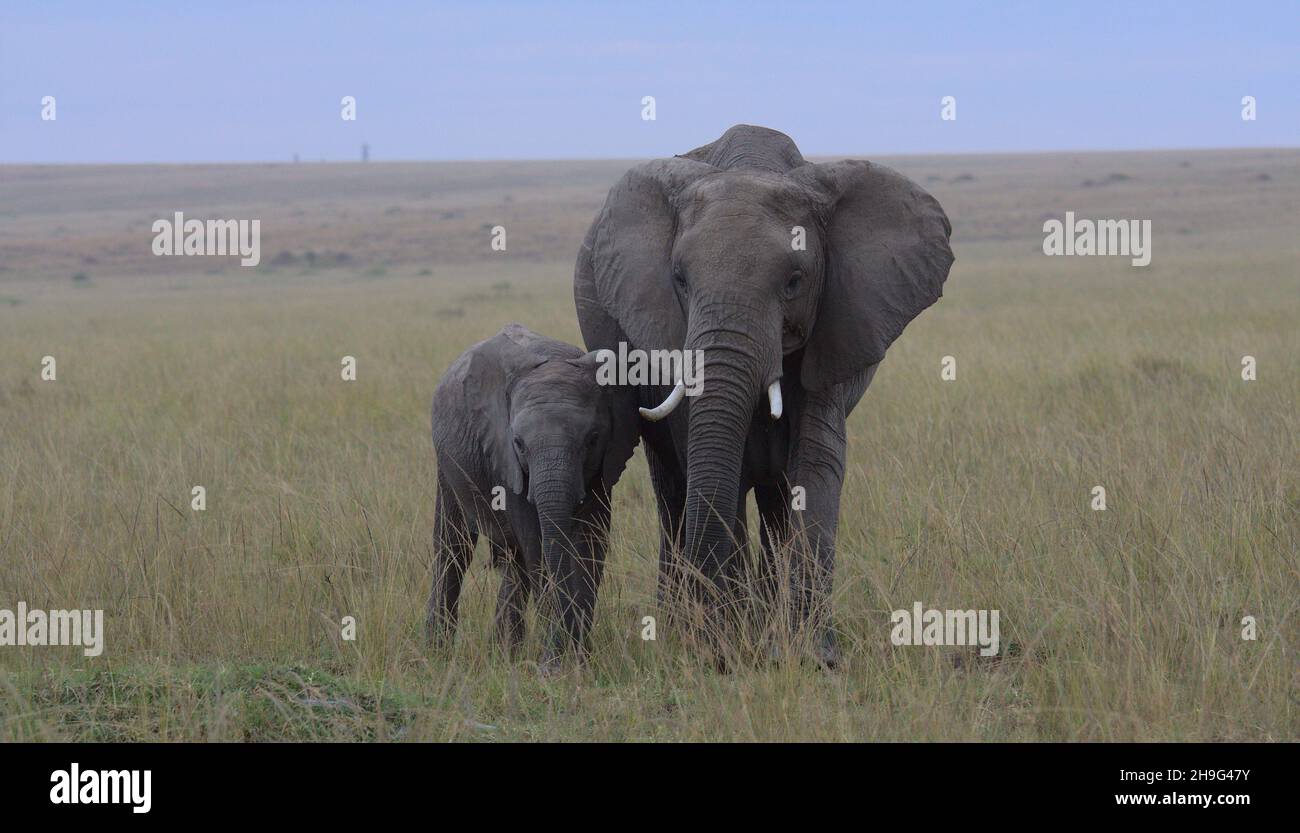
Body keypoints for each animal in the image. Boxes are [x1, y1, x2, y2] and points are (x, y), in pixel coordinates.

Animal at [428, 322, 637, 665]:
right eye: (519, 443)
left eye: (592, 439)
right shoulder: (503, 456)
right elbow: (536, 544)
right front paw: (556, 664)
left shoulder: (605, 464)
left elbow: (591, 542)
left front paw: (579, 661)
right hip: (447, 462)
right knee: (453, 548)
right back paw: (437, 653)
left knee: (515, 561)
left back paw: (504, 654)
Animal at [572, 123, 956, 662]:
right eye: (679, 279)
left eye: (794, 281)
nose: (715, 641)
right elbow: (712, 463)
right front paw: (724, 649)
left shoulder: (838, 323)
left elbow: (816, 464)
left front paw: (812, 656)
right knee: (671, 490)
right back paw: (681, 627)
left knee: (774, 498)